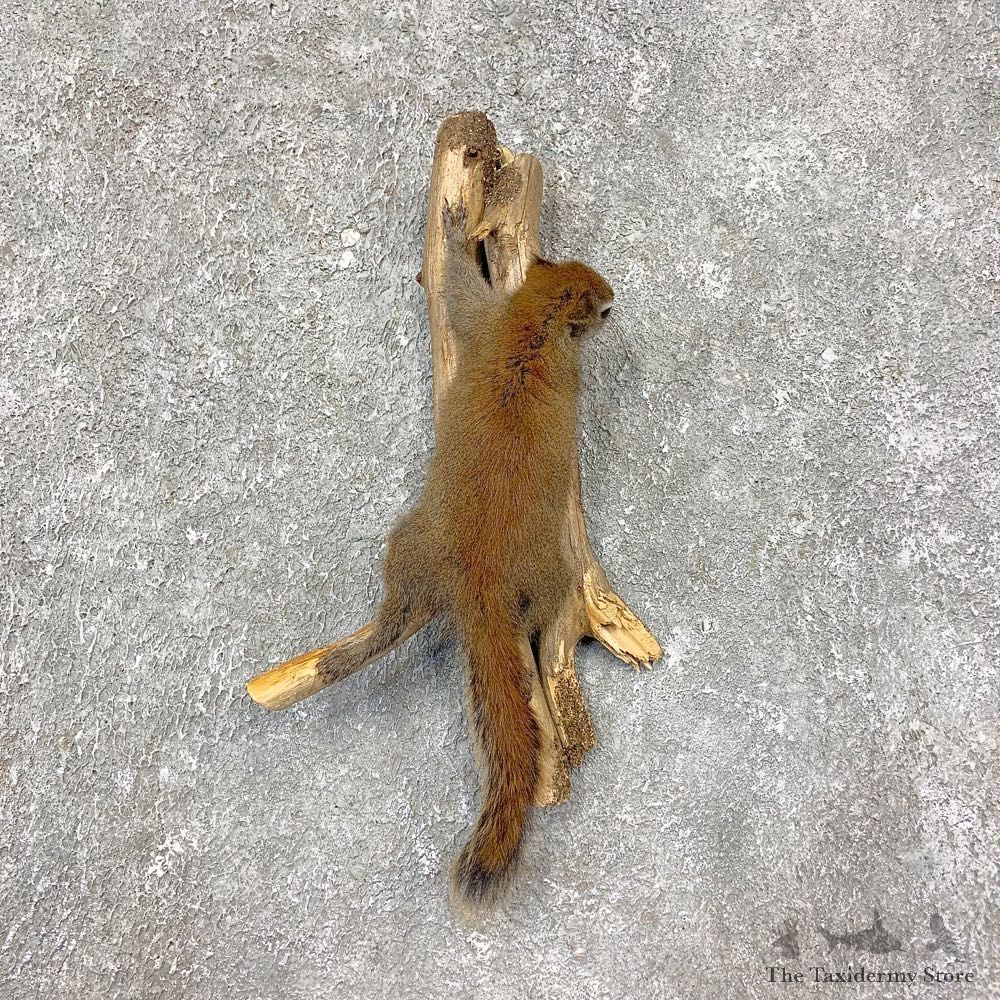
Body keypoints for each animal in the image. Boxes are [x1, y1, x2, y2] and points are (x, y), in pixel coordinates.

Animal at [318, 202, 614, 910]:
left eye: (567, 263)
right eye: (597, 302)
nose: (613, 297)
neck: (534, 324)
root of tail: (479, 577)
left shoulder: (488, 319)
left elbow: (457, 290)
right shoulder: (500, 324)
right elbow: (458, 286)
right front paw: (455, 228)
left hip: (408, 542)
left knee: (399, 611)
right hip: (548, 571)